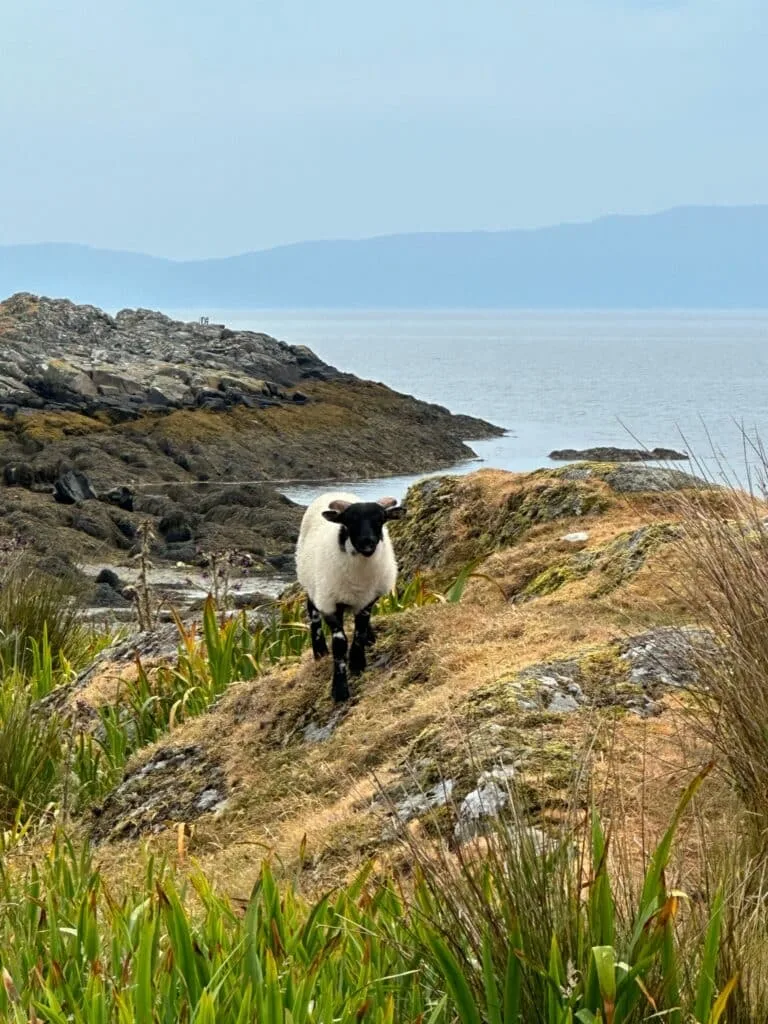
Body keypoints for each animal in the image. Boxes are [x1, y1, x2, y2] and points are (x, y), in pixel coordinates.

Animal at [295, 491, 406, 701]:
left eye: (380, 519)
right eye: (349, 521)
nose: (367, 543)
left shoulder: (368, 601)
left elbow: (359, 631)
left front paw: (357, 662)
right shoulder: (330, 604)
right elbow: (340, 644)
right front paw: (340, 689)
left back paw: (370, 638)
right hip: (312, 582)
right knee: (312, 611)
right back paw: (319, 650)